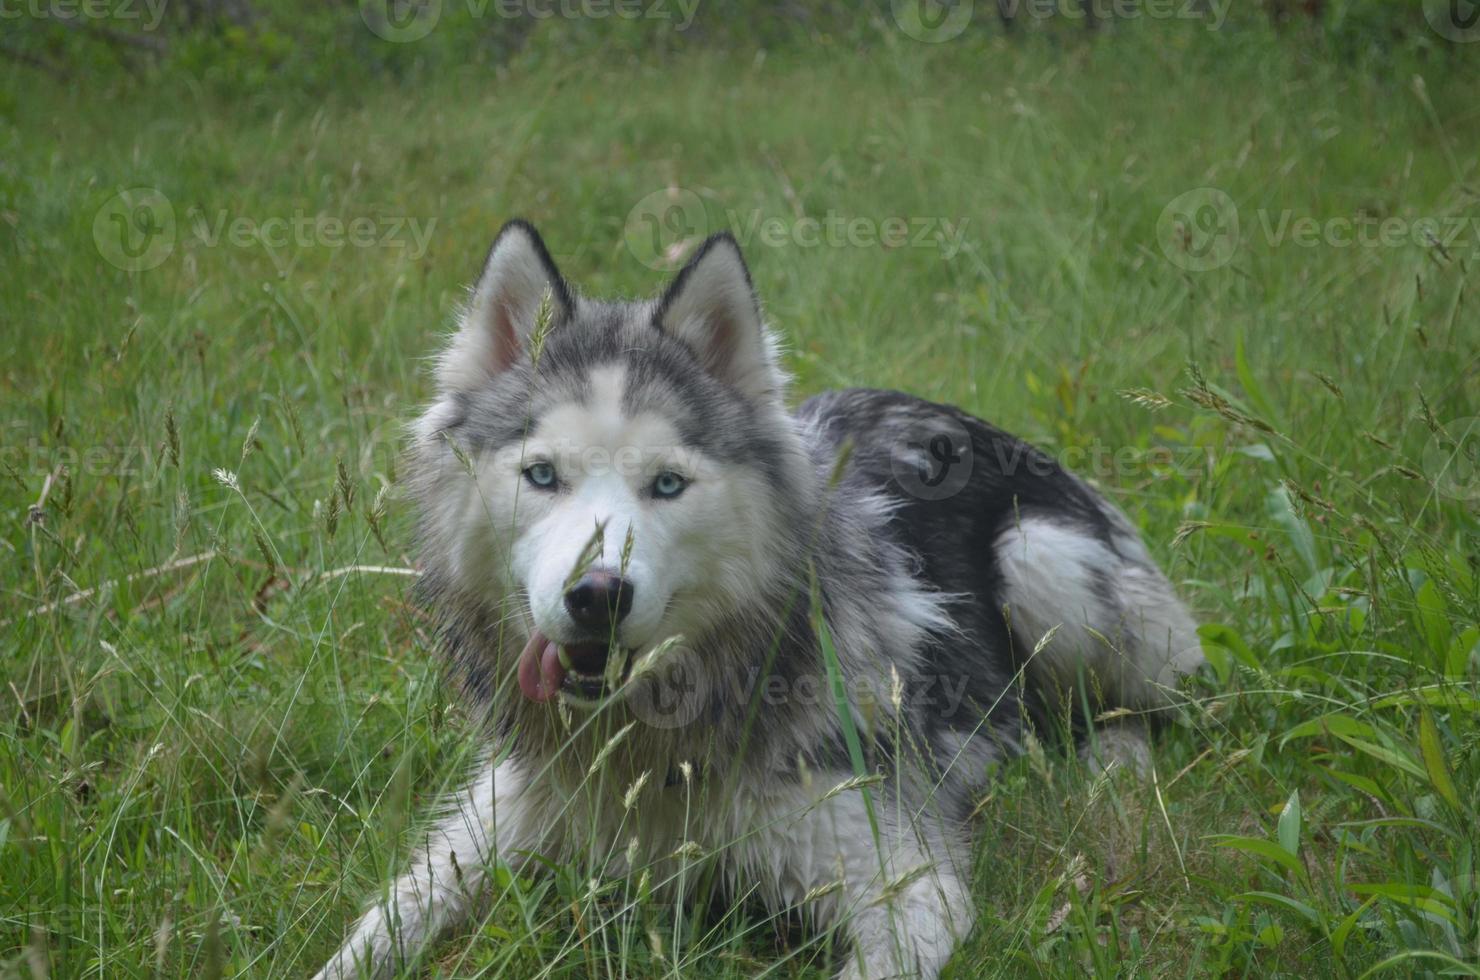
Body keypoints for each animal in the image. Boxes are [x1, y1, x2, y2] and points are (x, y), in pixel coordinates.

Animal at [315, 222, 1201, 980]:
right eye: (542, 475)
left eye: (667, 484)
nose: (598, 593)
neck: (655, 742)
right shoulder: (489, 828)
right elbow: (378, 928)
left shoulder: (910, 886)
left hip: (1041, 558)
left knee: (1146, 710)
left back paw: (1108, 766)